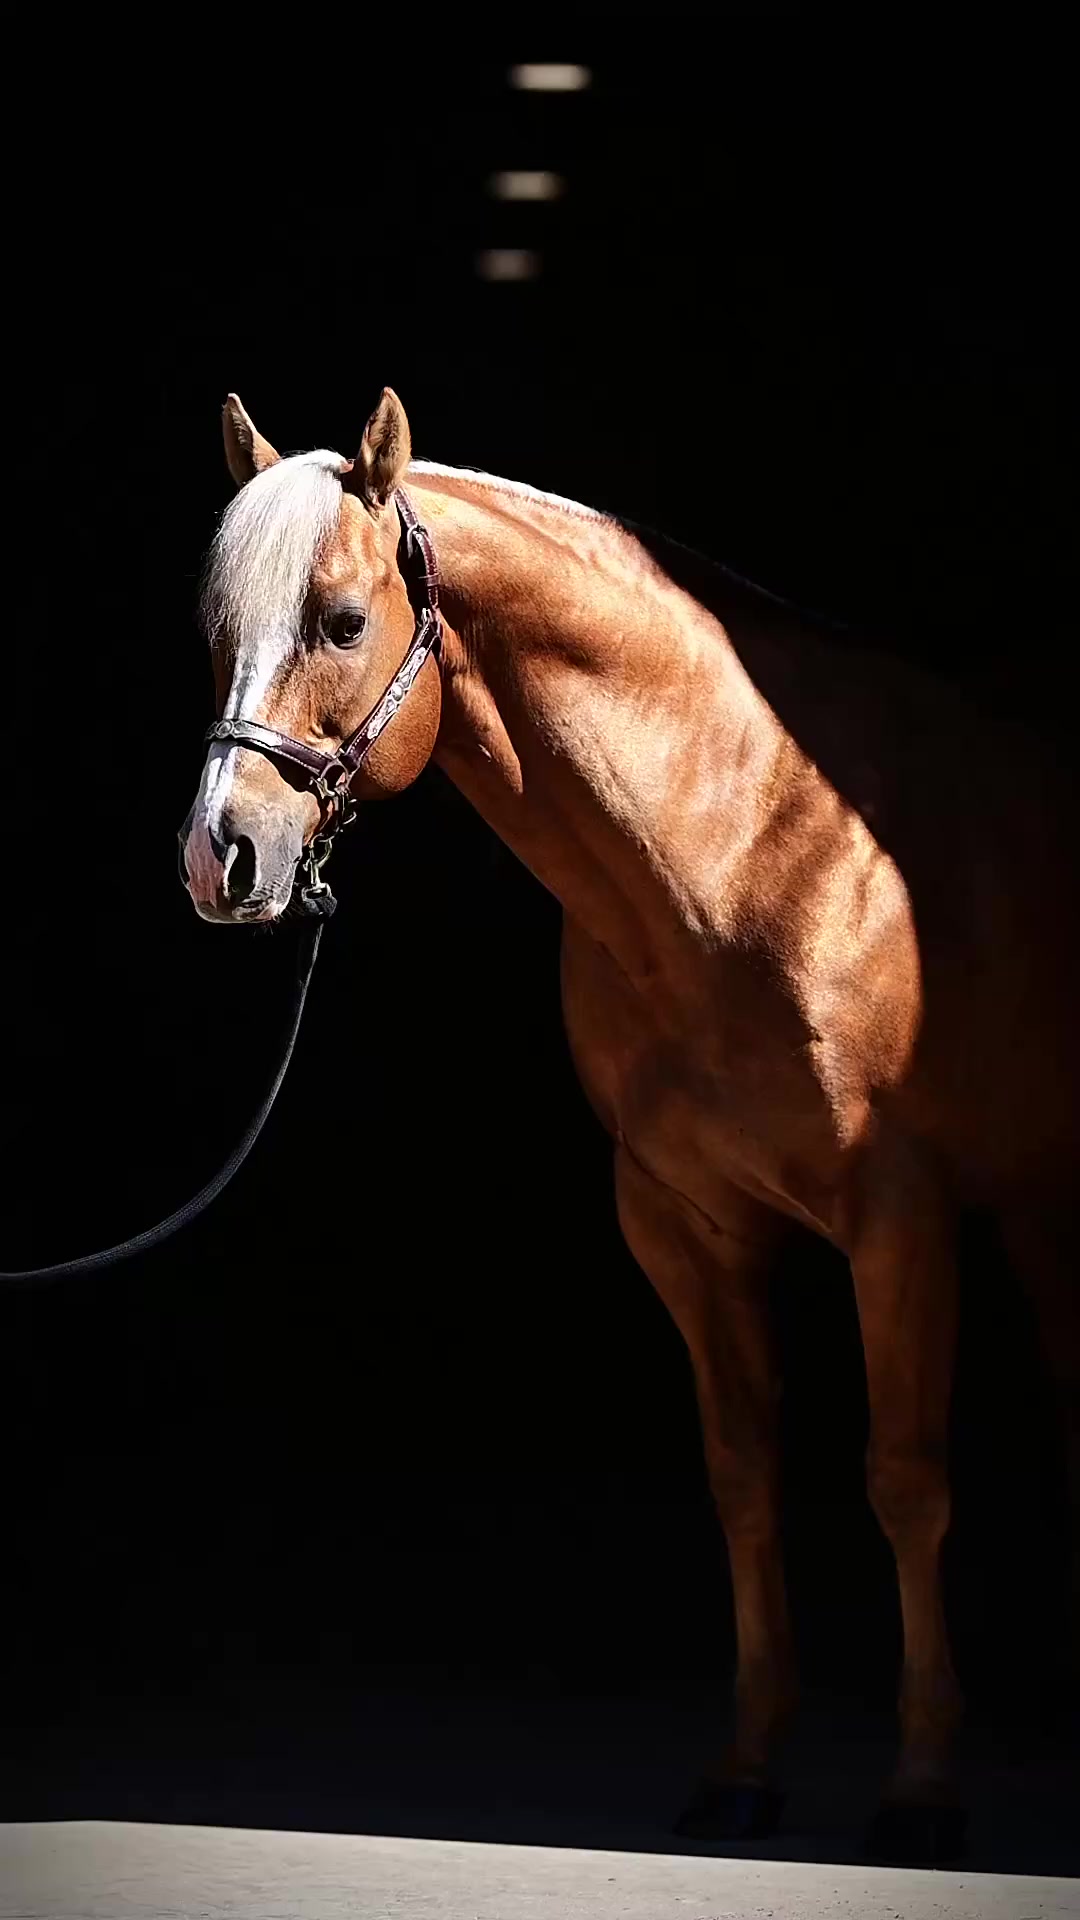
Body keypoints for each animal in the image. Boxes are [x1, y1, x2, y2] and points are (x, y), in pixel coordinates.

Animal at [180, 386, 1079, 1859]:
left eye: (344, 622)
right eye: (214, 631)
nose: (221, 855)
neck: (753, 843)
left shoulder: (902, 1222)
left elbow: (905, 1478)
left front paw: (923, 1785)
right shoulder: (680, 1223)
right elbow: (743, 1475)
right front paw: (747, 1767)